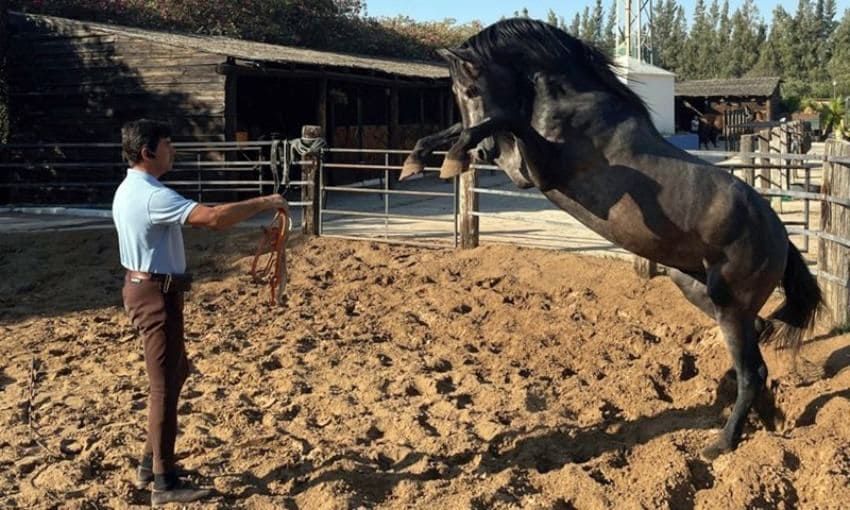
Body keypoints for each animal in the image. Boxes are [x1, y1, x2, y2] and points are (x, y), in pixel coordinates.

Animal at [400, 19, 820, 460]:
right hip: (696, 287)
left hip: (729, 305)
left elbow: (503, 121)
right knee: (757, 343)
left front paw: (451, 160)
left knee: (752, 370)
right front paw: (418, 161)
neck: (572, 105)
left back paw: (722, 443)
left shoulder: (535, 170)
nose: (479, 155)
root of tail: (780, 238)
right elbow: (469, 128)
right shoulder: (519, 167)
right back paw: (767, 419)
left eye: (471, 90)